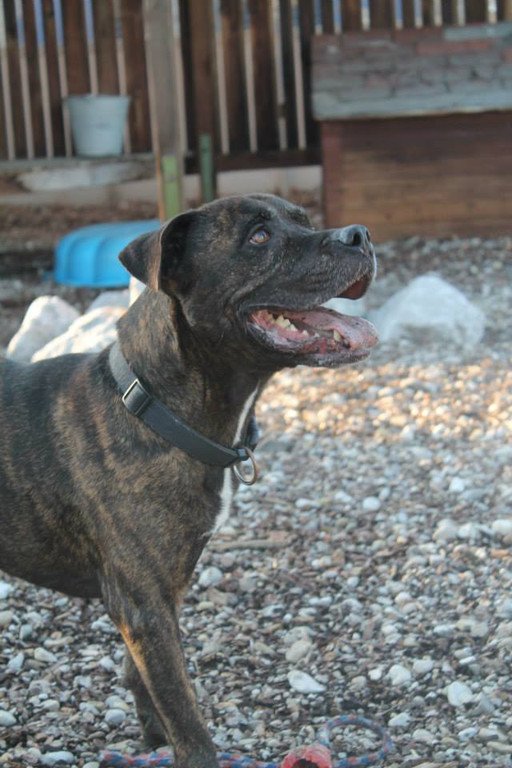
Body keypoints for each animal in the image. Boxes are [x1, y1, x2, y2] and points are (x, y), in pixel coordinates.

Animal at [0, 194, 377, 768]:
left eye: (304, 220)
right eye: (259, 237)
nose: (360, 235)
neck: (158, 408)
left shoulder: (159, 599)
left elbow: (147, 684)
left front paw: (153, 744)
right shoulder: (144, 607)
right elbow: (186, 714)